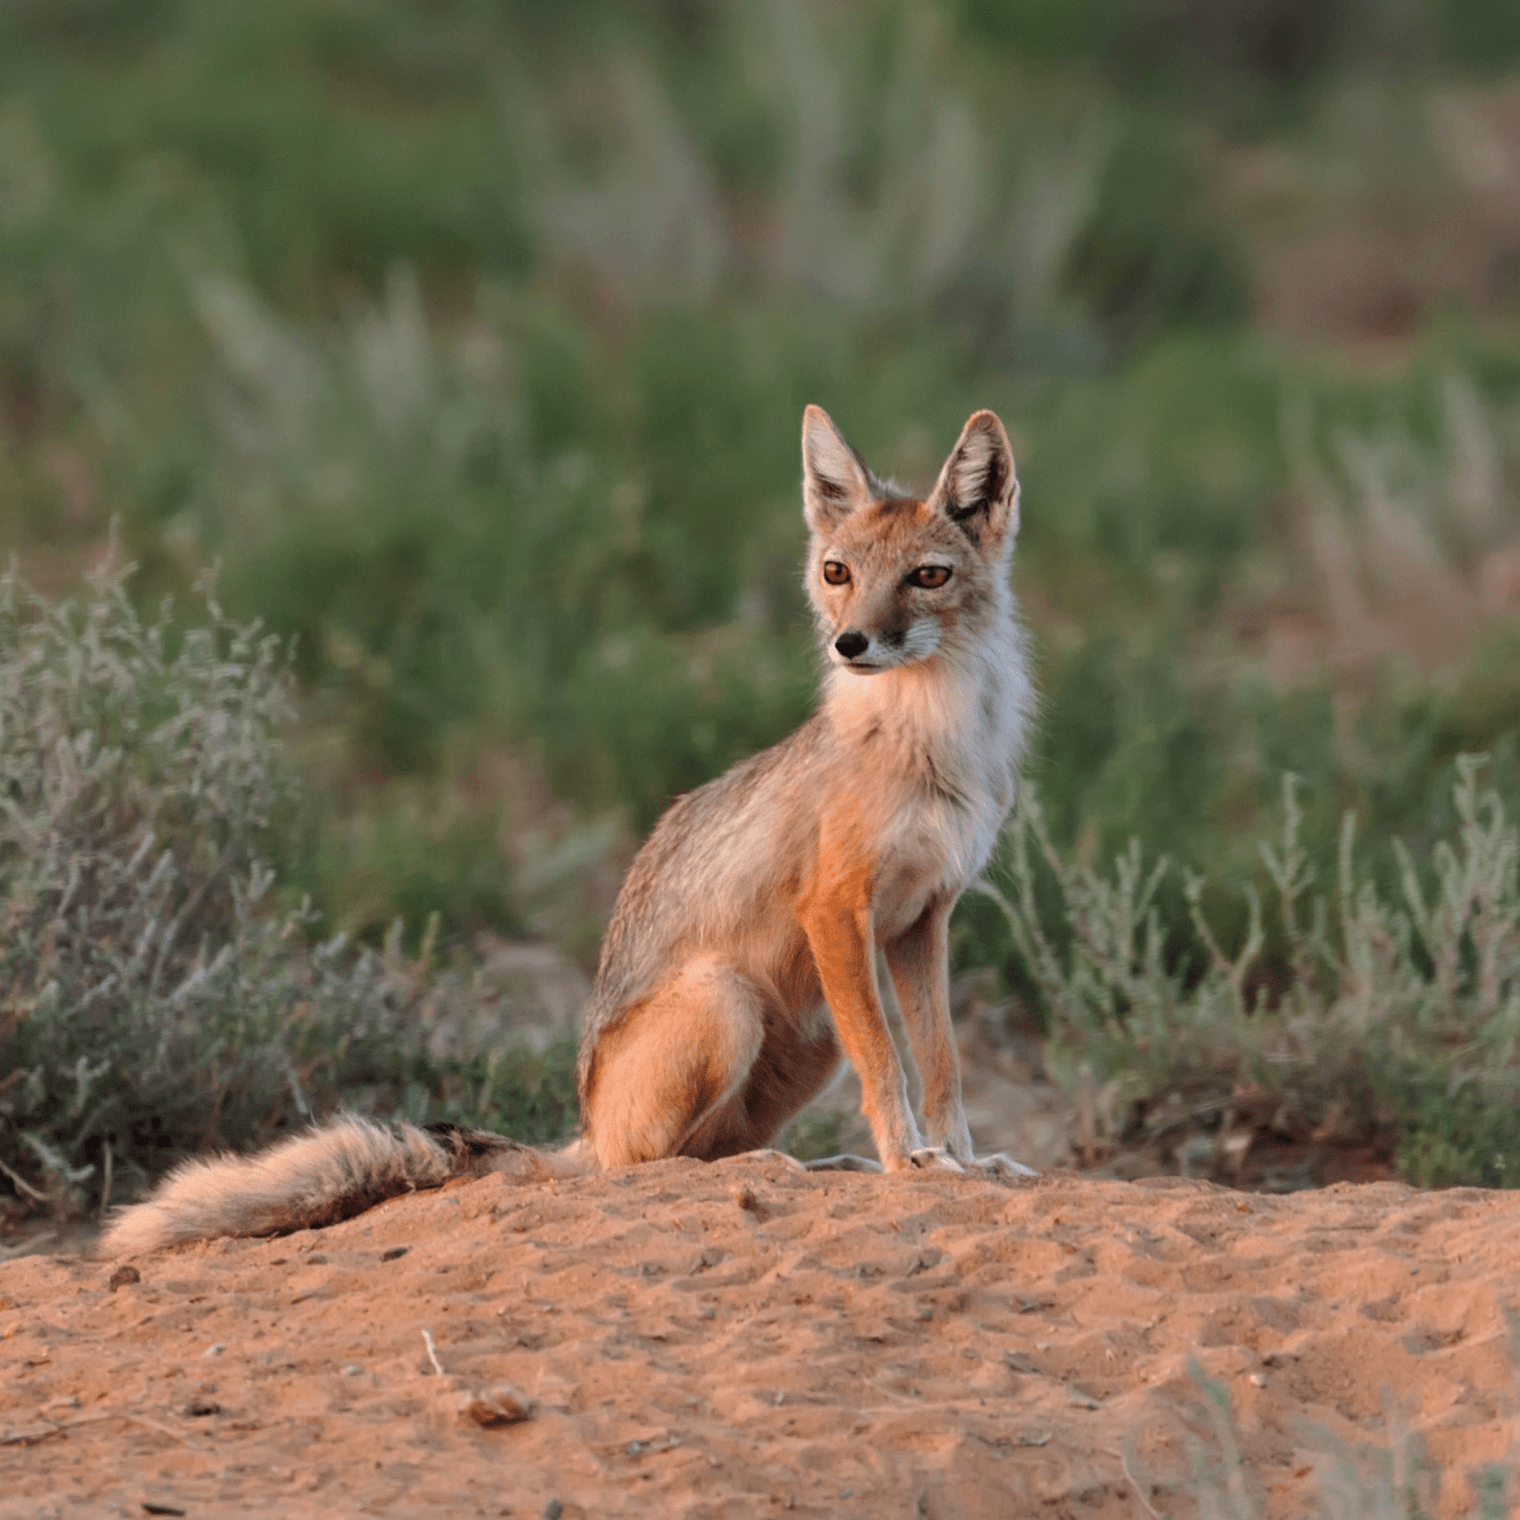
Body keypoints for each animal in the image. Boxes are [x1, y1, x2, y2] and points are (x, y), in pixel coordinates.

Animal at [104, 404, 1033, 1258]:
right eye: (838, 571)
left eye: (927, 576)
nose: (851, 643)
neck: (930, 744)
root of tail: (582, 1129)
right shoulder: (837, 910)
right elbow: (891, 1065)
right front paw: (909, 1161)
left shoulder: (921, 919)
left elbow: (941, 1065)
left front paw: (961, 1160)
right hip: (728, 1000)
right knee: (653, 1166)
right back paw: (784, 1168)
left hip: (808, 1038)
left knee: (704, 1150)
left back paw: (824, 1164)